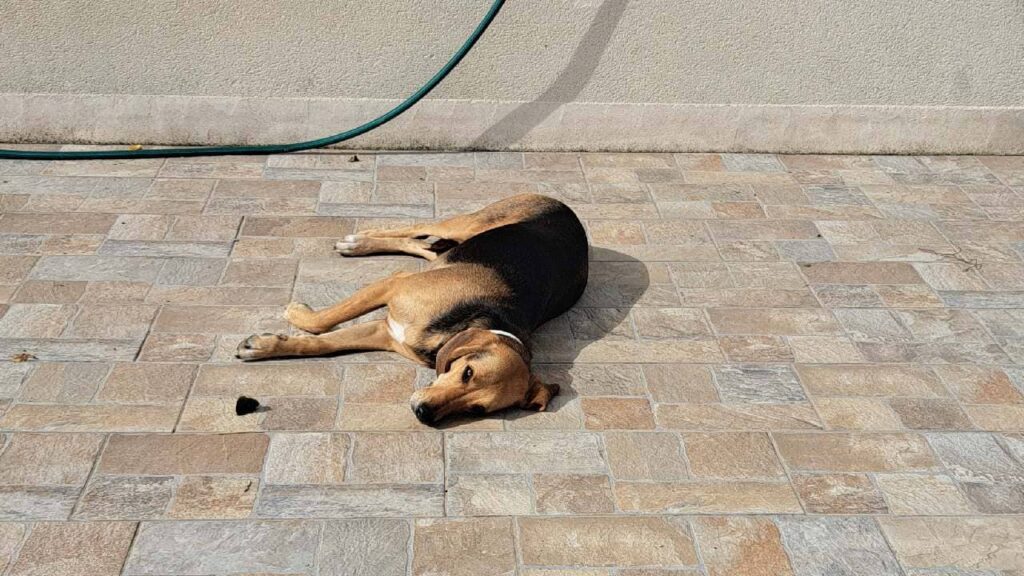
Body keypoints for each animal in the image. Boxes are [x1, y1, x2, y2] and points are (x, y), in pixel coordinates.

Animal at [232, 192, 585, 422]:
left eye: (477, 410)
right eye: (467, 372)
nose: (424, 414)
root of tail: (573, 216)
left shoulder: (385, 333)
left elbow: (321, 344)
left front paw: (263, 346)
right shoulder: (394, 286)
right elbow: (322, 323)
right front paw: (294, 314)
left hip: (455, 246)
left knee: (428, 248)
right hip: (467, 225)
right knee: (419, 228)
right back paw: (360, 240)